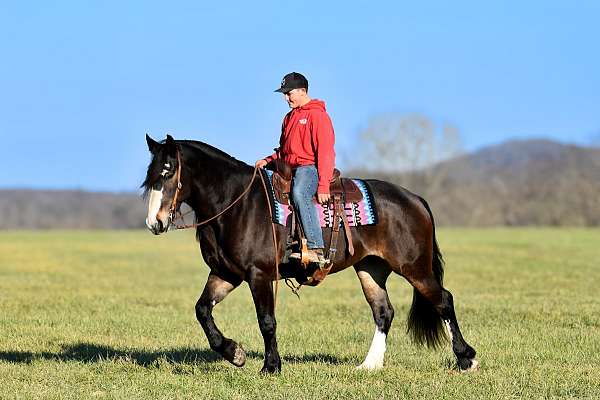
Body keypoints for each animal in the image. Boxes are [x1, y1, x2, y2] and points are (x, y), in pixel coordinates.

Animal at [141, 134, 478, 376]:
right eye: (150, 175)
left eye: (168, 172)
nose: (154, 222)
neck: (236, 204)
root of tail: (414, 199)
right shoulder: (226, 274)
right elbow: (202, 310)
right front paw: (234, 353)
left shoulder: (258, 274)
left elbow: (266, 320)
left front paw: (271, 366)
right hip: (371, 268)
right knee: (384, 311)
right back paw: (370, 365)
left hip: (414, 267)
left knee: (443, 300)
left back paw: (466, 359)